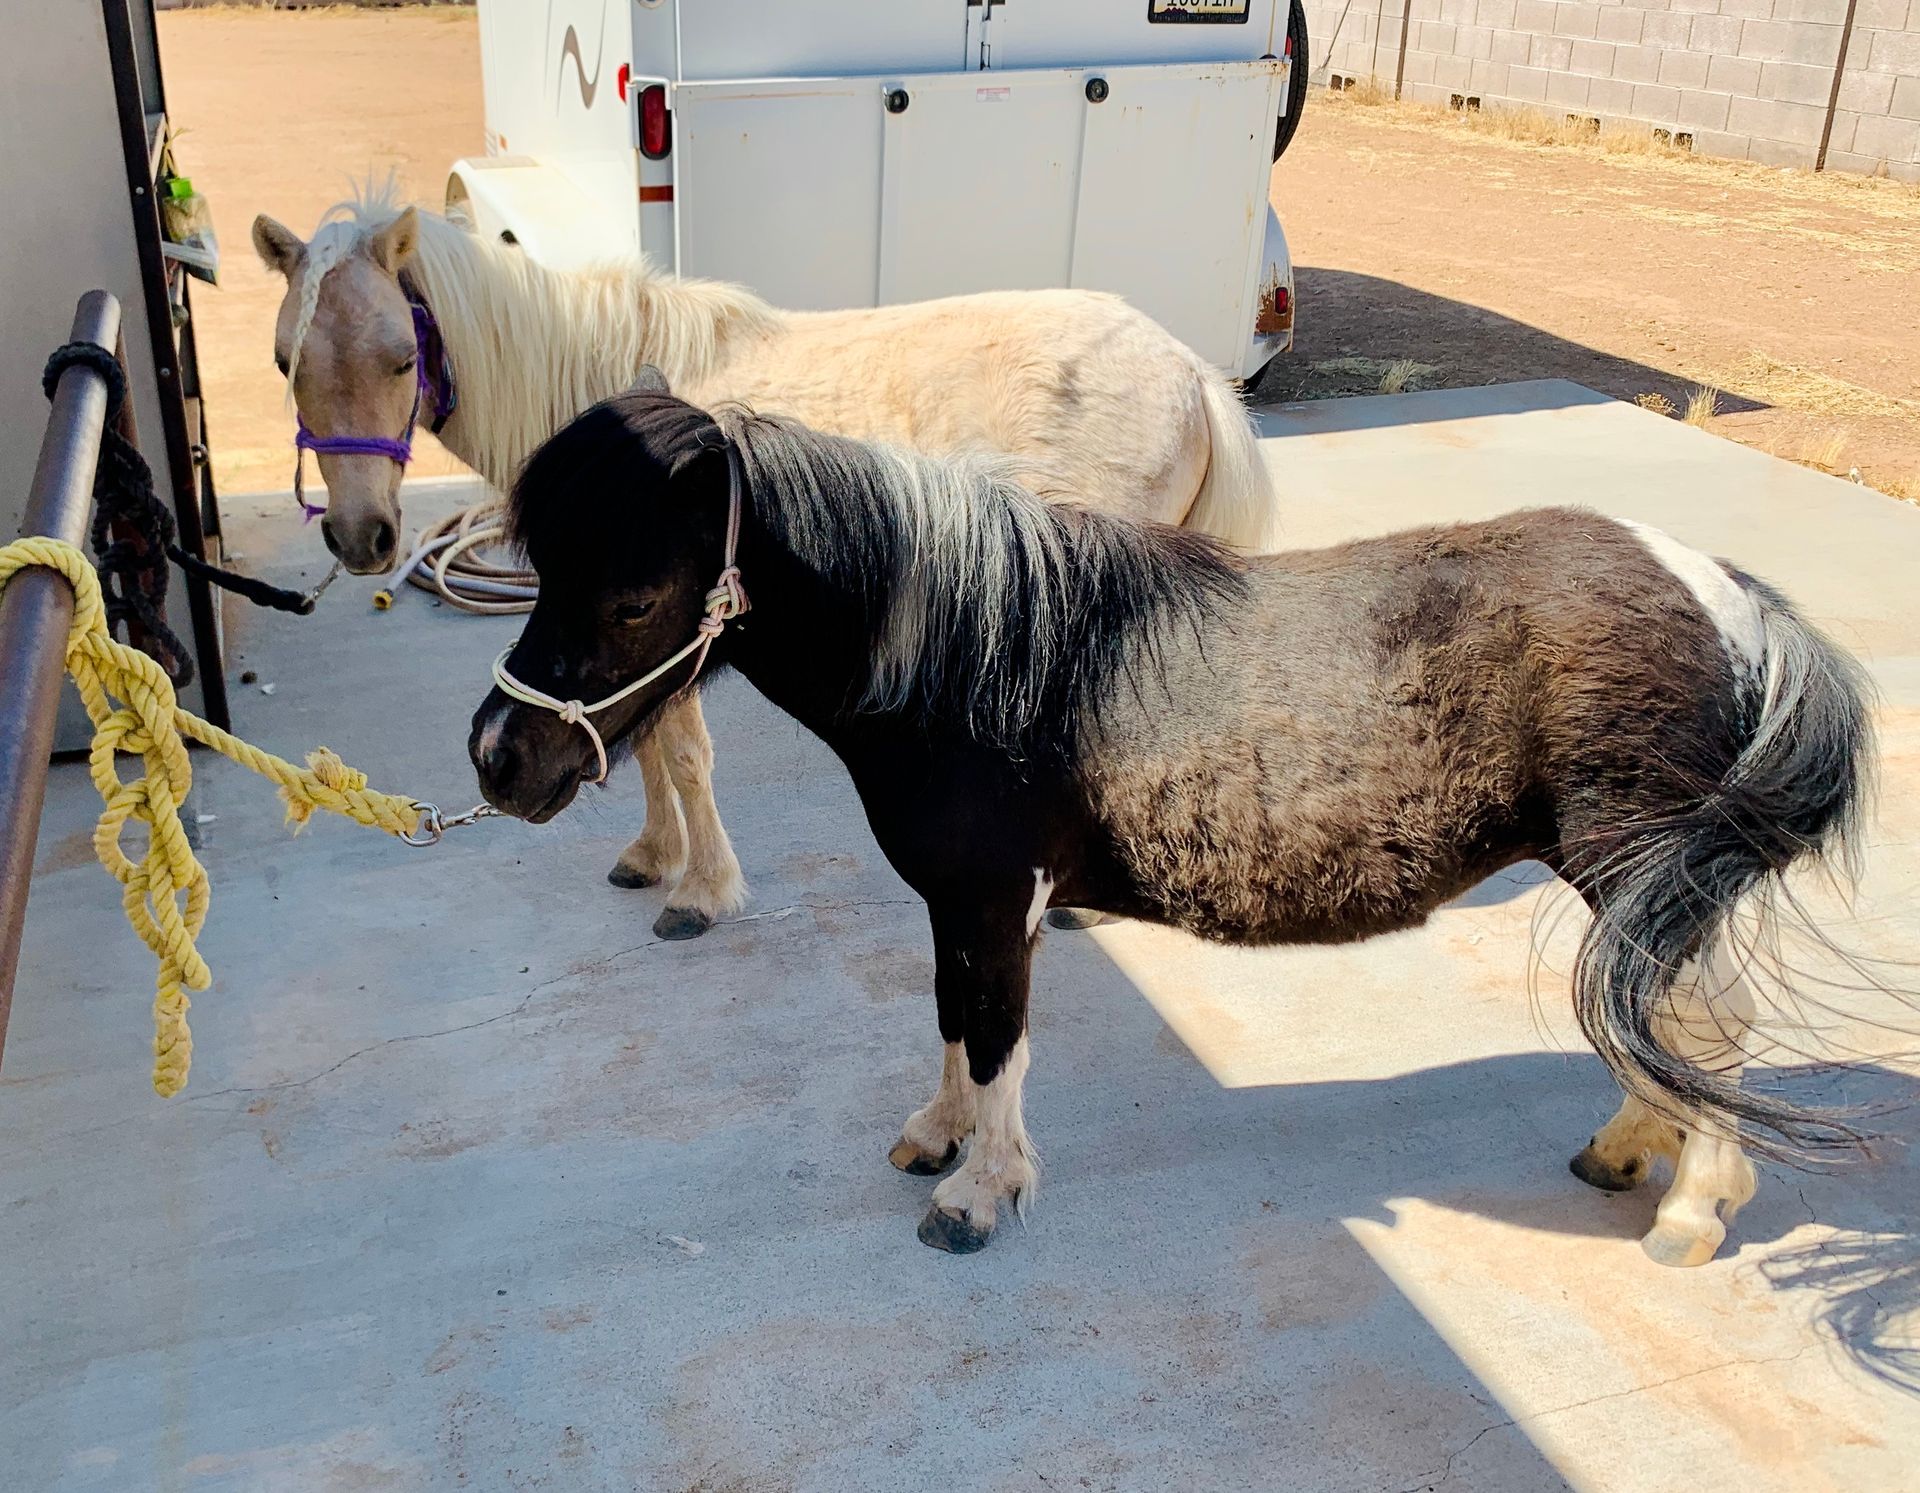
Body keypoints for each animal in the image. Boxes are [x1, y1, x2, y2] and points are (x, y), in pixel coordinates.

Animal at [251, 188, 1279, 941]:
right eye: (283, 361)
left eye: (399, 358)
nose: (360, 538)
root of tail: (1194, 373)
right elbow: (645, 744)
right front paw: (651, 855)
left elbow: (683, 753)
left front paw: (699, 893)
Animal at [467, 378, 1882, 1263]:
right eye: (540, 572)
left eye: (637, 598)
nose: (497, 758)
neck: (975, 656)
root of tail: (1734, 602)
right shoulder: (959, 902)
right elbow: (952, 1019)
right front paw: (939, 1139)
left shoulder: (1000, 900)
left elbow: (997, 1037)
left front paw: (982, 1192)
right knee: (1669, 1019)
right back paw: (1631, 1149)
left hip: (1630, 865)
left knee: (1705, 1024)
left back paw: (1695, 1206)